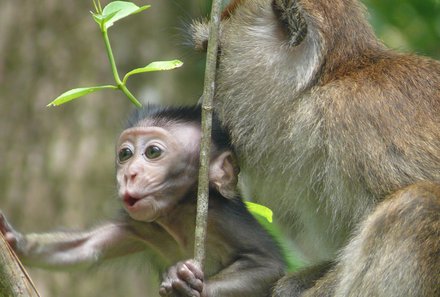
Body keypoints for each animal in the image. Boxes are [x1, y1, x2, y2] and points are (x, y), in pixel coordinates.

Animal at [0, 106, 286, 296]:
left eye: (153, 152)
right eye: (125, 154)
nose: (129, 173)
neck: (175, 216)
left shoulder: (220, 216)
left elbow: (268, 265)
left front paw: (183, 285)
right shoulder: (139, 225)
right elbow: (86, 248)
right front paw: (16, 240)